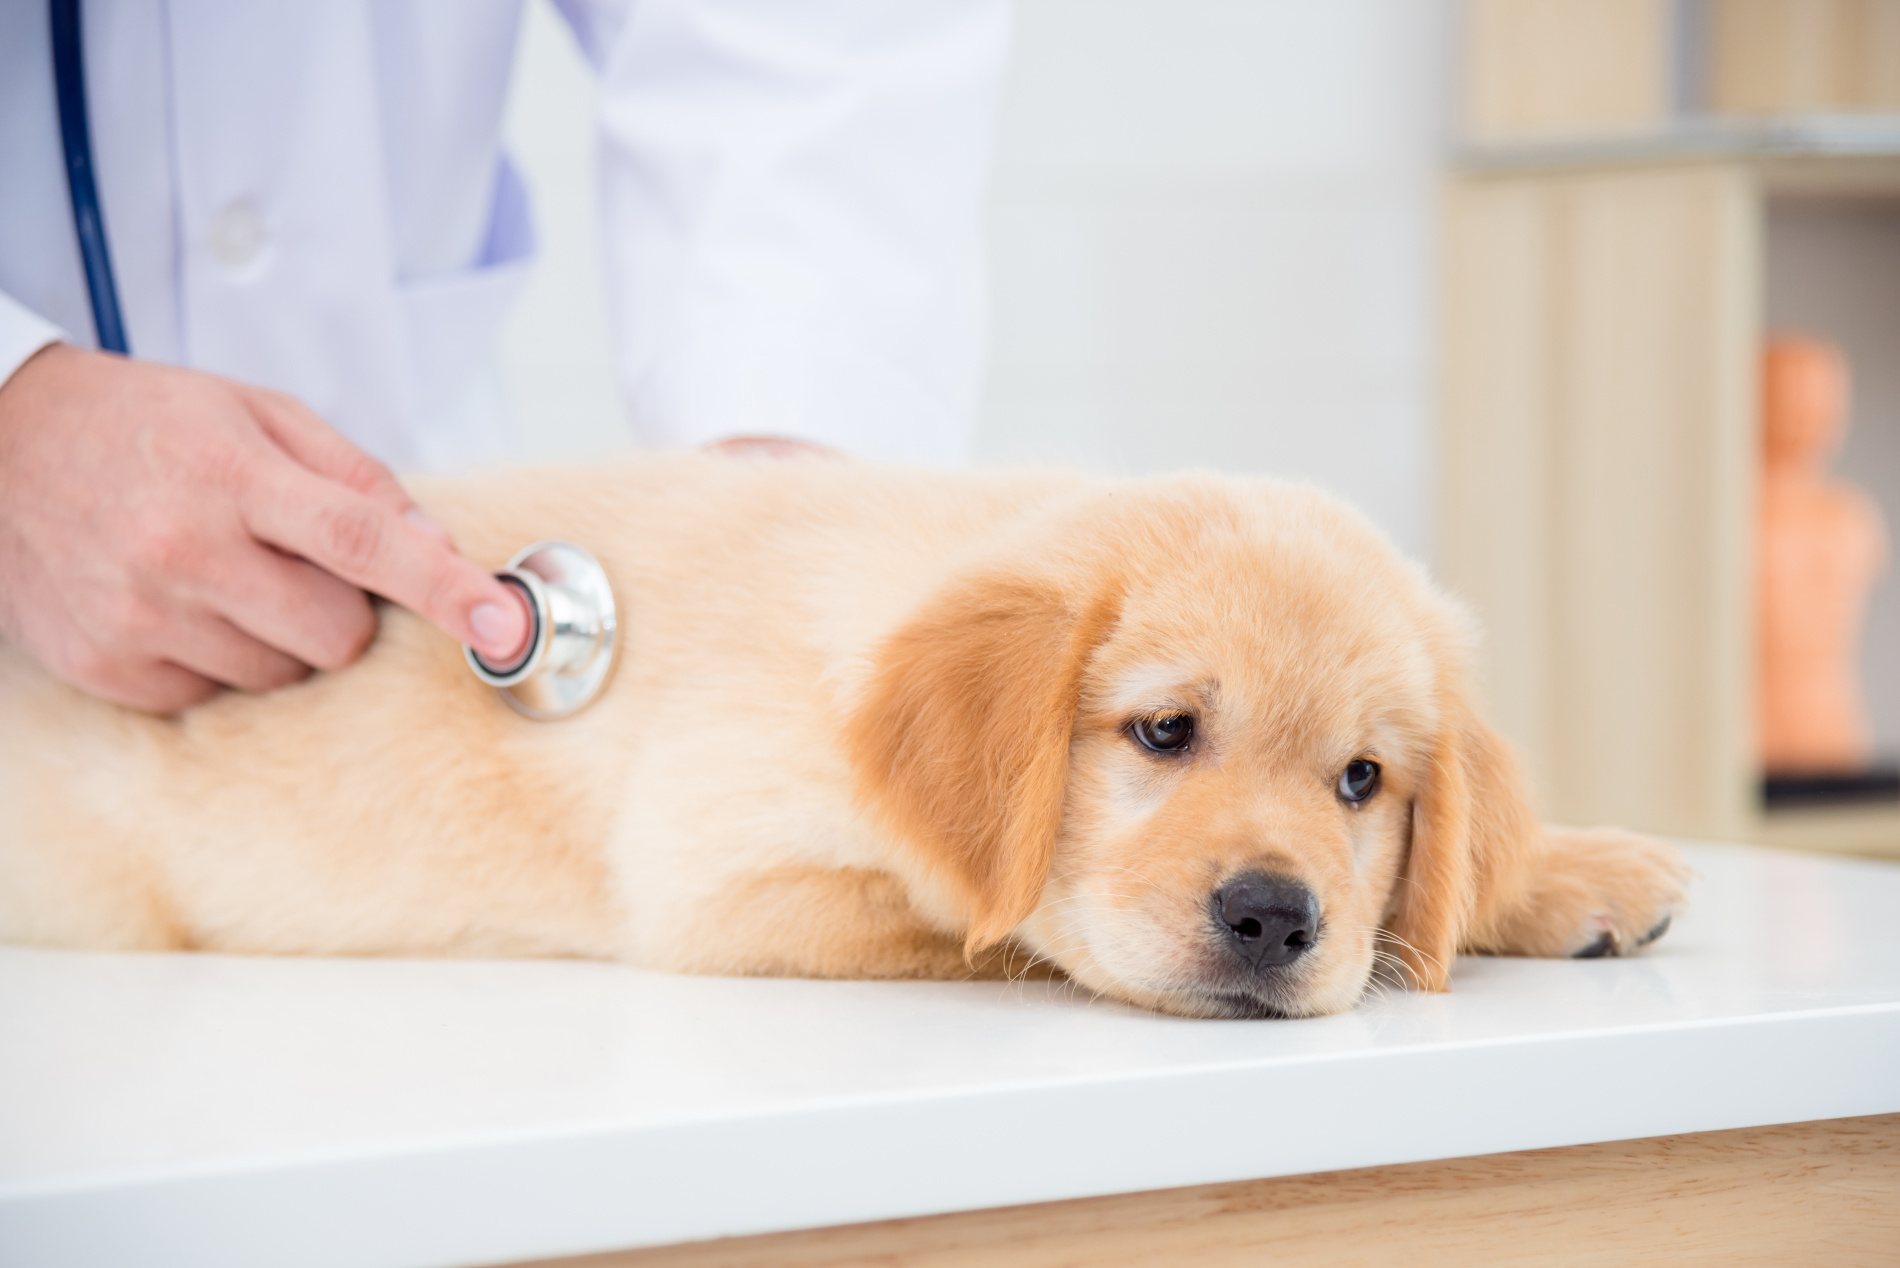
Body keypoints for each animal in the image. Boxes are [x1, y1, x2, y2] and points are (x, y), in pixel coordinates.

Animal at [0, 456, 1694, 1018]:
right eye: (1162, 731)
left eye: (1362, 782)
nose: (1278, 918)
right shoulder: (724, 877)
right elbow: (987, 925)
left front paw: (1564, 874)